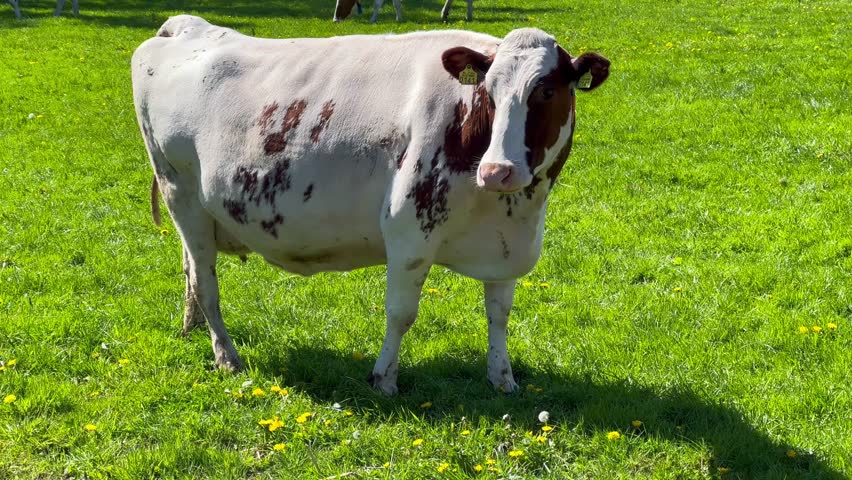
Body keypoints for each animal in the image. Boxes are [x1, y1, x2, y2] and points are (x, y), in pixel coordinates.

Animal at [132, 15, 609, 395]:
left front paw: (502, 378)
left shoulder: (507, 246)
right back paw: (226, 356)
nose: (497, 171)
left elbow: (499, 315)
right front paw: (384, 379)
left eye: (546, 91)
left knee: (190, 269)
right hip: (181, 194)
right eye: (489, 92)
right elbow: (401, 314)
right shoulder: (408, 235)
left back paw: (192, 327)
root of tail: (185, 26)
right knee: (205, 281)